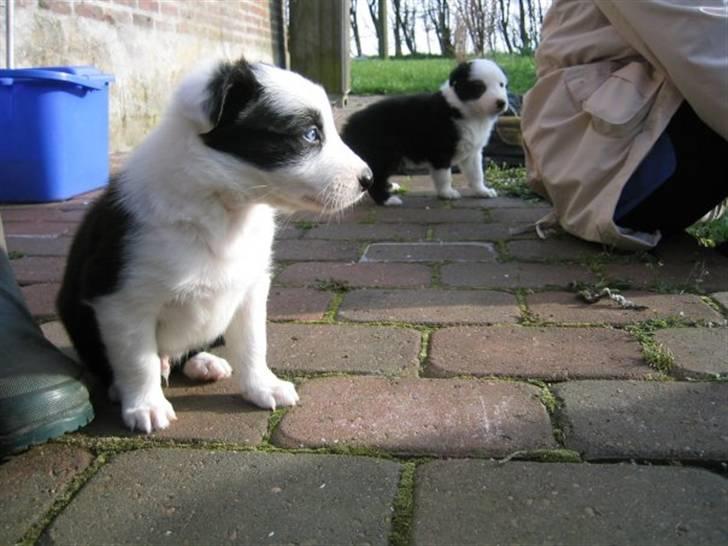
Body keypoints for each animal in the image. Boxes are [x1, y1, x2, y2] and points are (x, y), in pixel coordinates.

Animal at [56, 57, 372, 432]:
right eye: (310, 134)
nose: (368, 179)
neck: (224, 208)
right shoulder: (122, 300)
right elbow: (138, 360)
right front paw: (146, 406)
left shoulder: (251, 287)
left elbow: (253, 344)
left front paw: (263, 387)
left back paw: (203, 362)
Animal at [342, 58, 510, 205]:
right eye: (479, 87)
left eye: (502, 85)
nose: (501, 103)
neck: (467, 112)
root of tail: (349, 126)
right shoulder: (440, 151)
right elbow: (444, 176)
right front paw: (447, 193)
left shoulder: (473, 152)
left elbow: (476, 174)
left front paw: (482, 191)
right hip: (384, 154)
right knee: (375, 178)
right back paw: (388, 200)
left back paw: (390, 187)